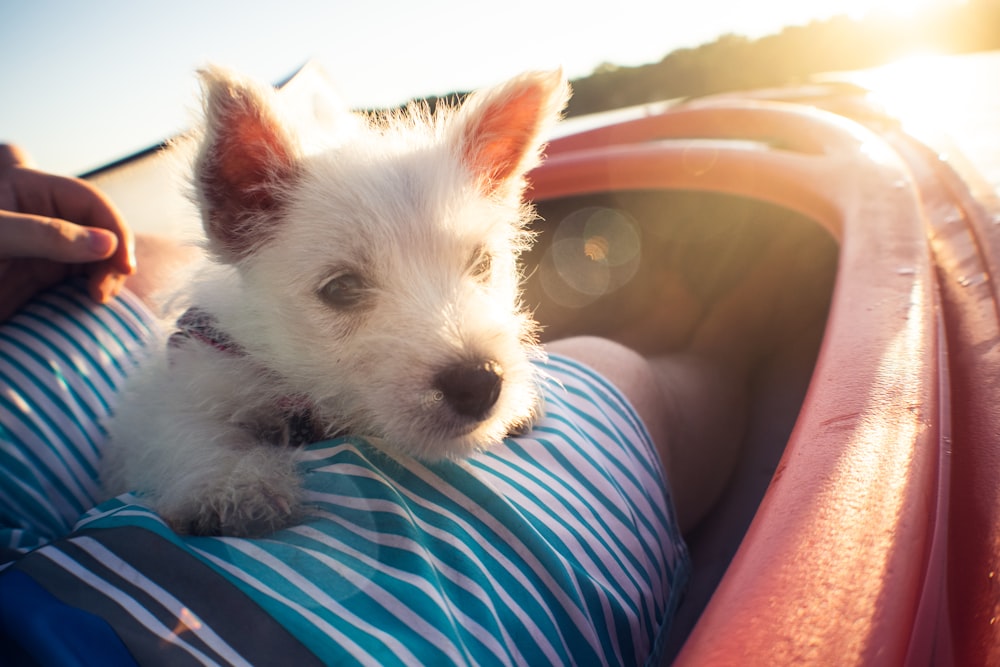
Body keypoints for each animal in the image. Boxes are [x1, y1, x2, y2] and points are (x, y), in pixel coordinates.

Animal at [105, 66, 572, 536]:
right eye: (341, 288)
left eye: (481, 263)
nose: (480, 382)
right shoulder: (182, 383)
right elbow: (186, 428)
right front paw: (230, 481)